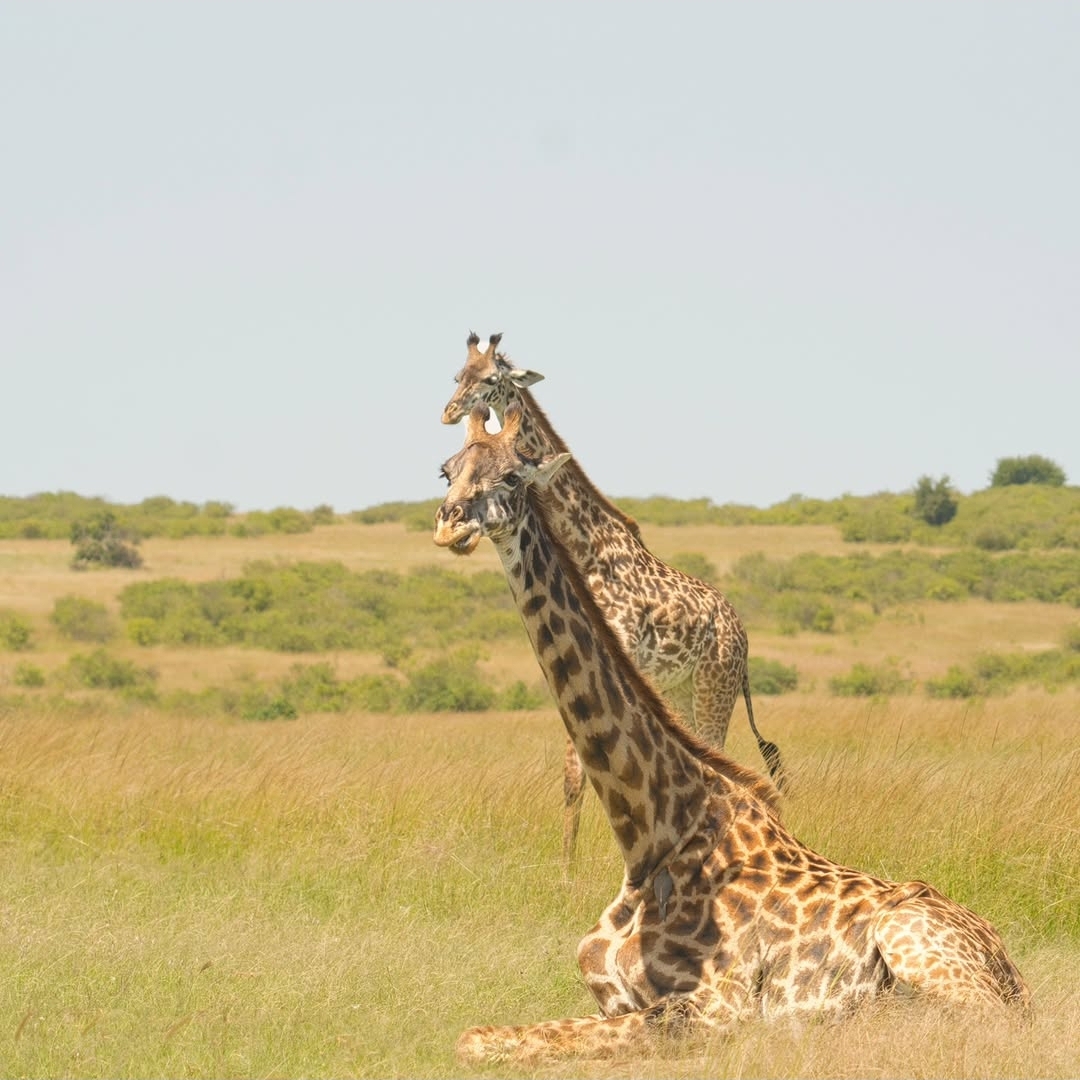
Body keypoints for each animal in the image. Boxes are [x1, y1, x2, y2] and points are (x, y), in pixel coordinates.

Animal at [433, 406, 1030, 1063]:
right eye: (447, 470)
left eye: (513, 476)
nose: (450, 524)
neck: (648, 834)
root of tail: (1016, 977)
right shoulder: (613, 994)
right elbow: (476, 1035)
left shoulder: (721, 1008)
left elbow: (492, 1039)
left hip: (912, 939)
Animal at [442, 331, 784, 865]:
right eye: (458, 374)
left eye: (492, 378)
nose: (450, 410)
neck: (585, 542)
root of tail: (741, 633)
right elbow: (575, 775)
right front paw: (568, 863)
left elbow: (592, 770)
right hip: (680, 690)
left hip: (715, 688)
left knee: (719, 752)